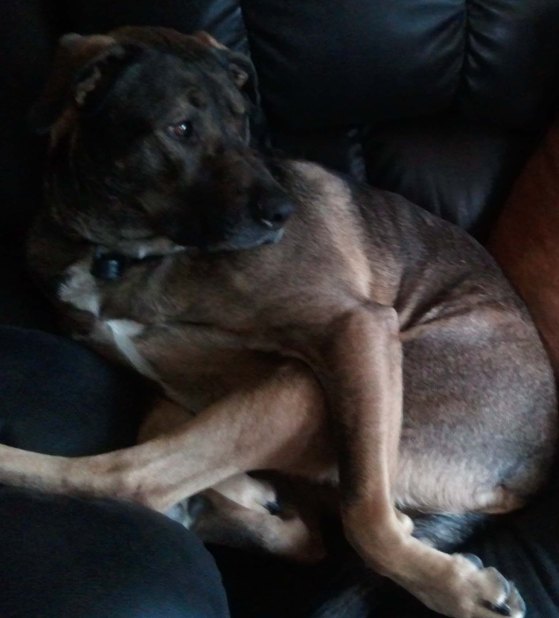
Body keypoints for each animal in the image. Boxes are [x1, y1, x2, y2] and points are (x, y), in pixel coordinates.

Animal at [0, 26, 556, 618]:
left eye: (242, 120)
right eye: (181, 128)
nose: (283, 212)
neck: (124, 253)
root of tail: (523, 480)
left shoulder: (356, 326)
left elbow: (365, 511)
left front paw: (445, 581)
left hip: (330, 384)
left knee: (136, 481)